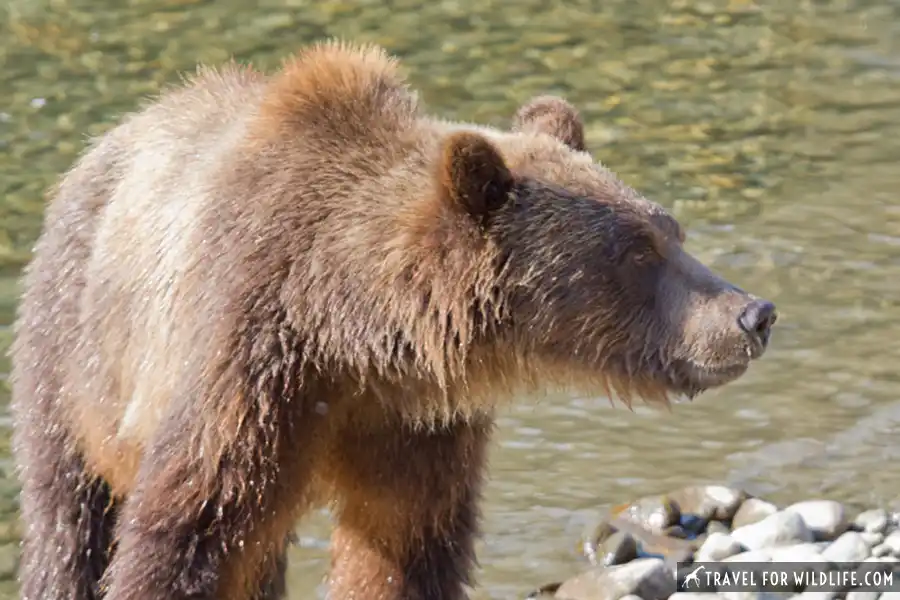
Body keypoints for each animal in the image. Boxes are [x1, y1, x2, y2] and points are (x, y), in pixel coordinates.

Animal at [8, 39, 772, 596]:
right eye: (638, 251)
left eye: (671, 229)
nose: (753, 313)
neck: (352, 330)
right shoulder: (249, 368)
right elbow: (185, 530)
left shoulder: (412, 423)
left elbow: (402, 546)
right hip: (72, 346)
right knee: (70, 518)